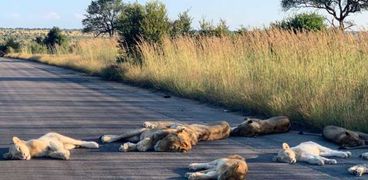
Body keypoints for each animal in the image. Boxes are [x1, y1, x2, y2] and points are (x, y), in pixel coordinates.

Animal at [100, 120, 230, 153]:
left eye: (172, 149)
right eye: (170, 140)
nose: (157, 148)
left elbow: (137, 145)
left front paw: (129, 147)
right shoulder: (161, 132)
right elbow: (153, 137)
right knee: (121, 135)